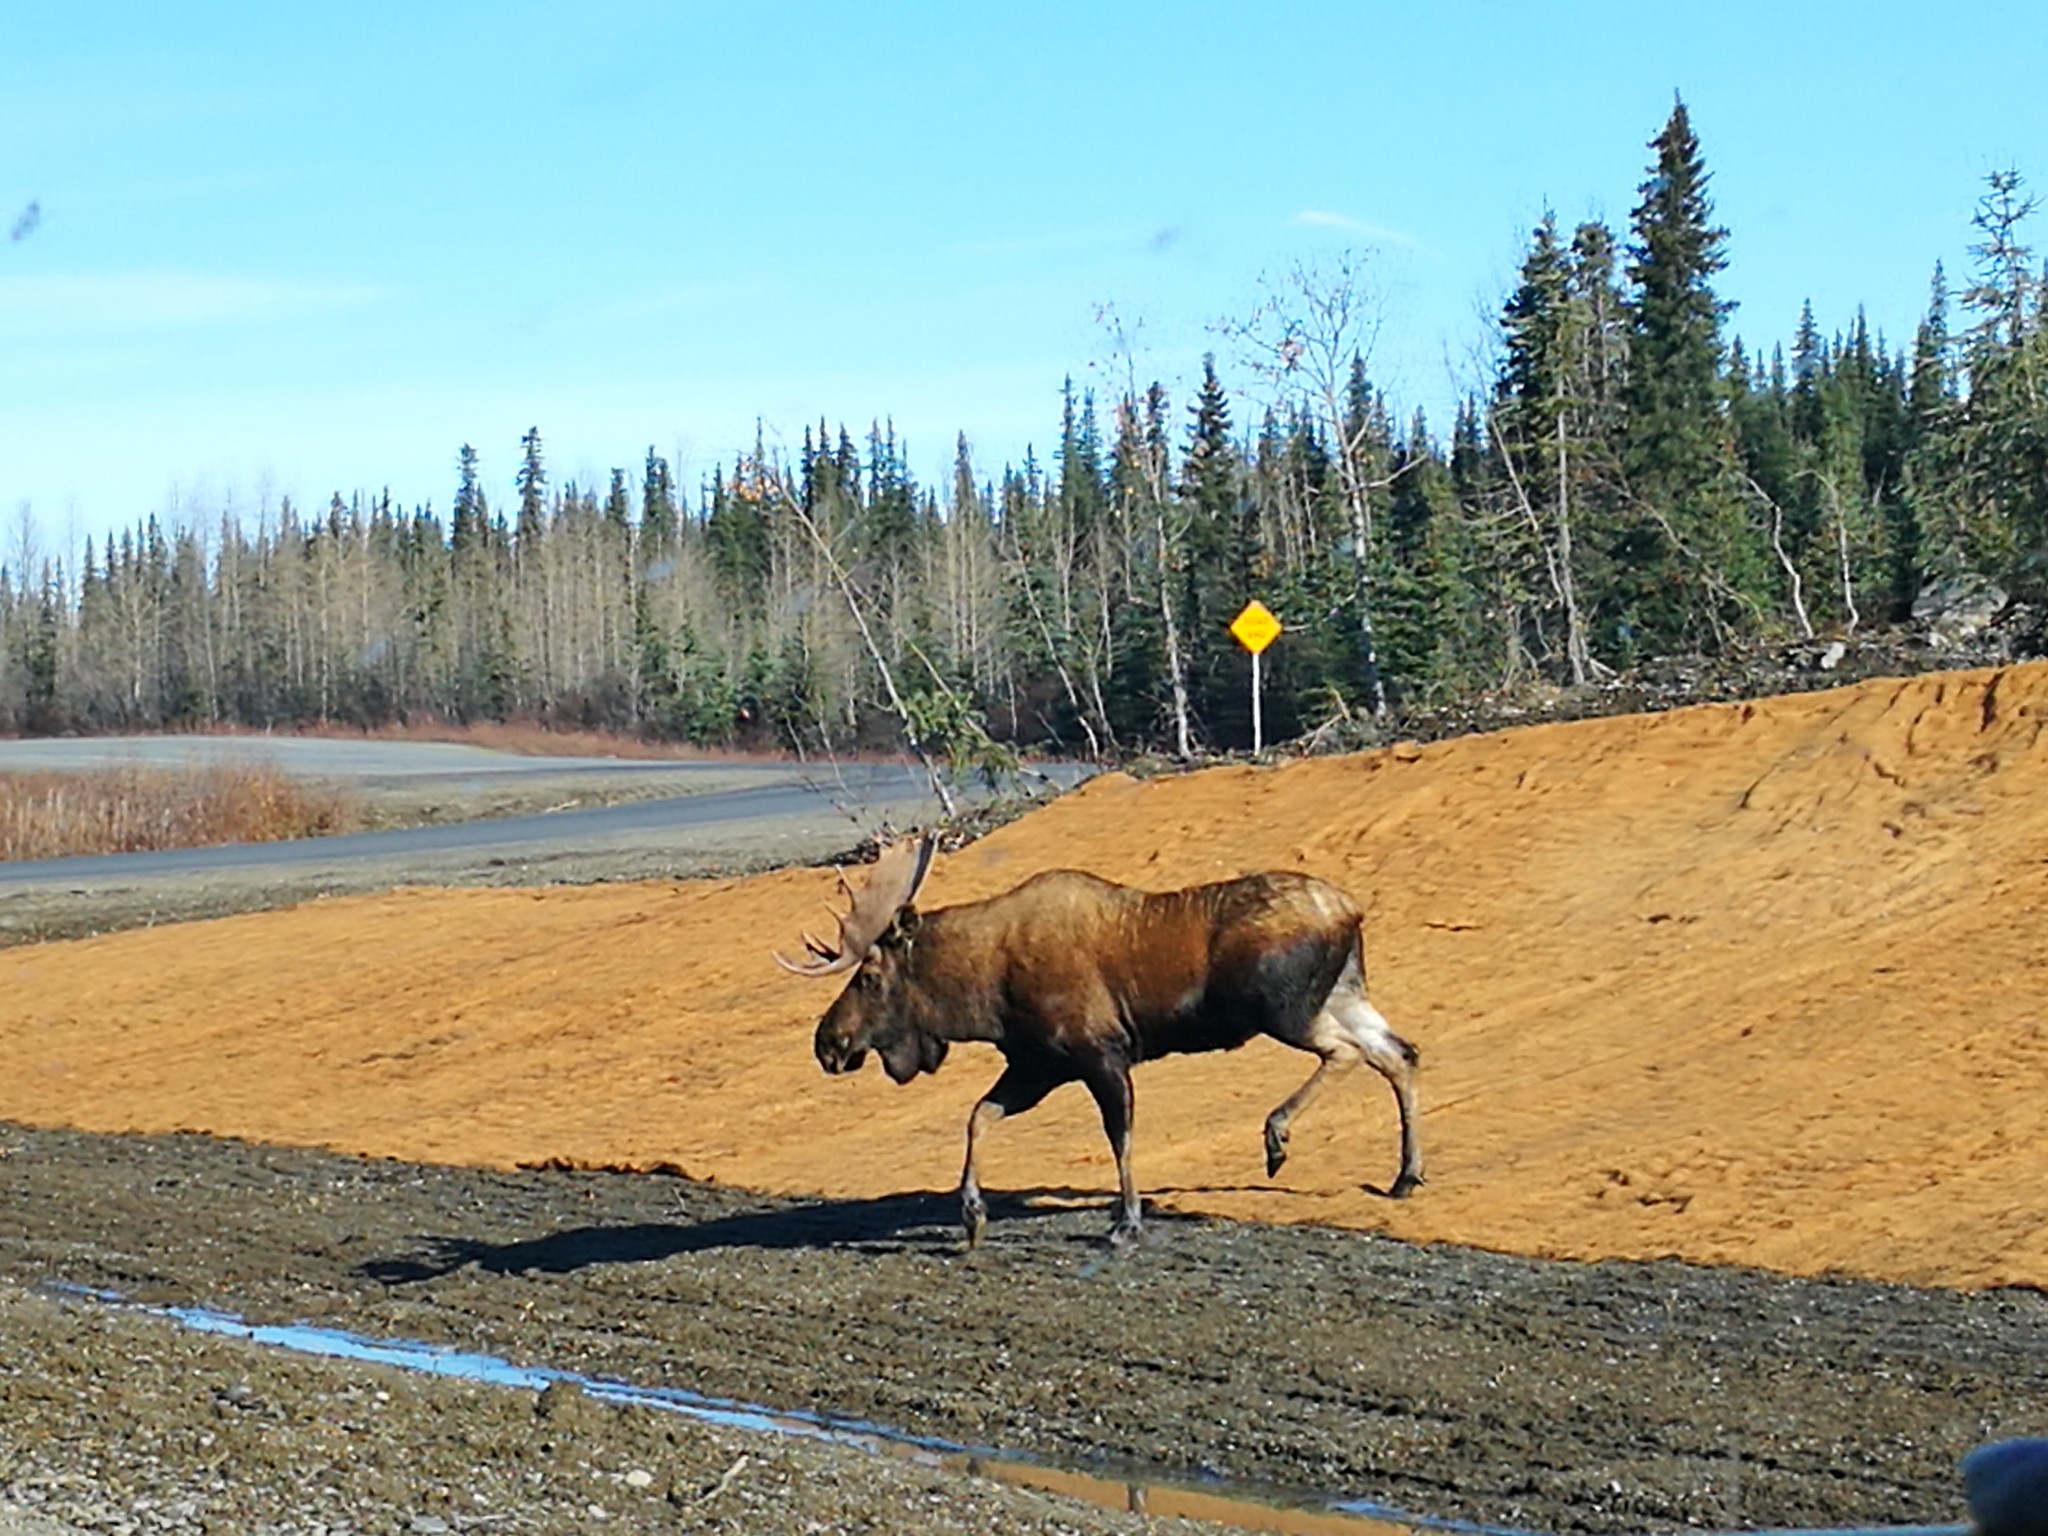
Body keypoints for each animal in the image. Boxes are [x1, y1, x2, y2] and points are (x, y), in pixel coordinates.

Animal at [770, 835, 1425, 1245]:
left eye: (869, 977)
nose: (827, 1043)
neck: (983, 995)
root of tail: (1352, 909)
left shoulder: (1099, 1052)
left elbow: (1120, 1136)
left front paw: (1127, 1222)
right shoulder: (1037, 1065)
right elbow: (979, 1116)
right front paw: (972, 1214)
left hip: (1283, 1007)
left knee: (1351, 1052)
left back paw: (1278, 1136)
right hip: (1342, 992)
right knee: (1399, 1053)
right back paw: (1404, 1176)